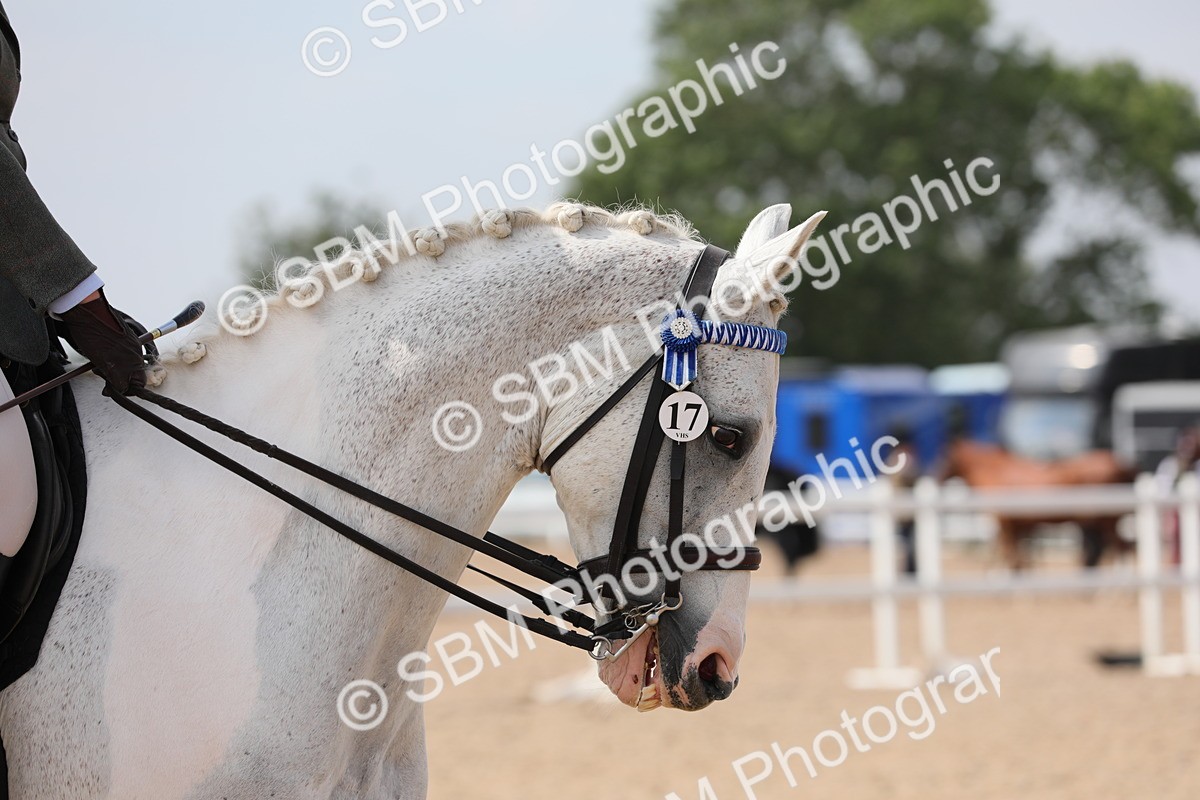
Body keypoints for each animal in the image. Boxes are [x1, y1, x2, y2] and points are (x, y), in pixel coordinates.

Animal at [943, 439, 1135, 570]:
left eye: (946, 457)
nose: (937, 475)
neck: (998, 472)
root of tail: (1120, 464)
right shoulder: (1017, 526)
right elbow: (1016, 558)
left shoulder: (1007, 524)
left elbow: (1013, 557)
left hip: (1107, 521)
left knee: (1119, 550)